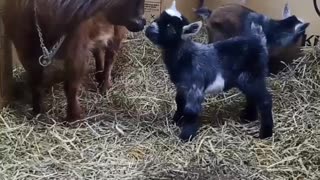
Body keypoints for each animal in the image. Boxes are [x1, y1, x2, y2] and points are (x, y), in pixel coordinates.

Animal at [2, 0, 145, 121]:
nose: (141, 22)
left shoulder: (77, 51)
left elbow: (71, 86)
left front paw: (73, 117)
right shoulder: (25, 51)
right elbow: (35, 82)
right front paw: (37, 111)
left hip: (117, 29)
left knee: (110, 56)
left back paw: (105, 85)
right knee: (98, 50)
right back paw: (99, 75)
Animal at [145, 1, 272, 142]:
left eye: (170, 28)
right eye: (158, 18)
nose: (148, 30)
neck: (186, 56)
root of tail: (259, 40)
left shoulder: (195, 87)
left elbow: (191, 111)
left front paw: (186, 136)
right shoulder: (182, 87)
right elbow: (179, 102)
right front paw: (176, 121)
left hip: (253, 77)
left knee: (265, 101)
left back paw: (265, 133)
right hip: (246, 80)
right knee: (251, 97)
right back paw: (248, 117)